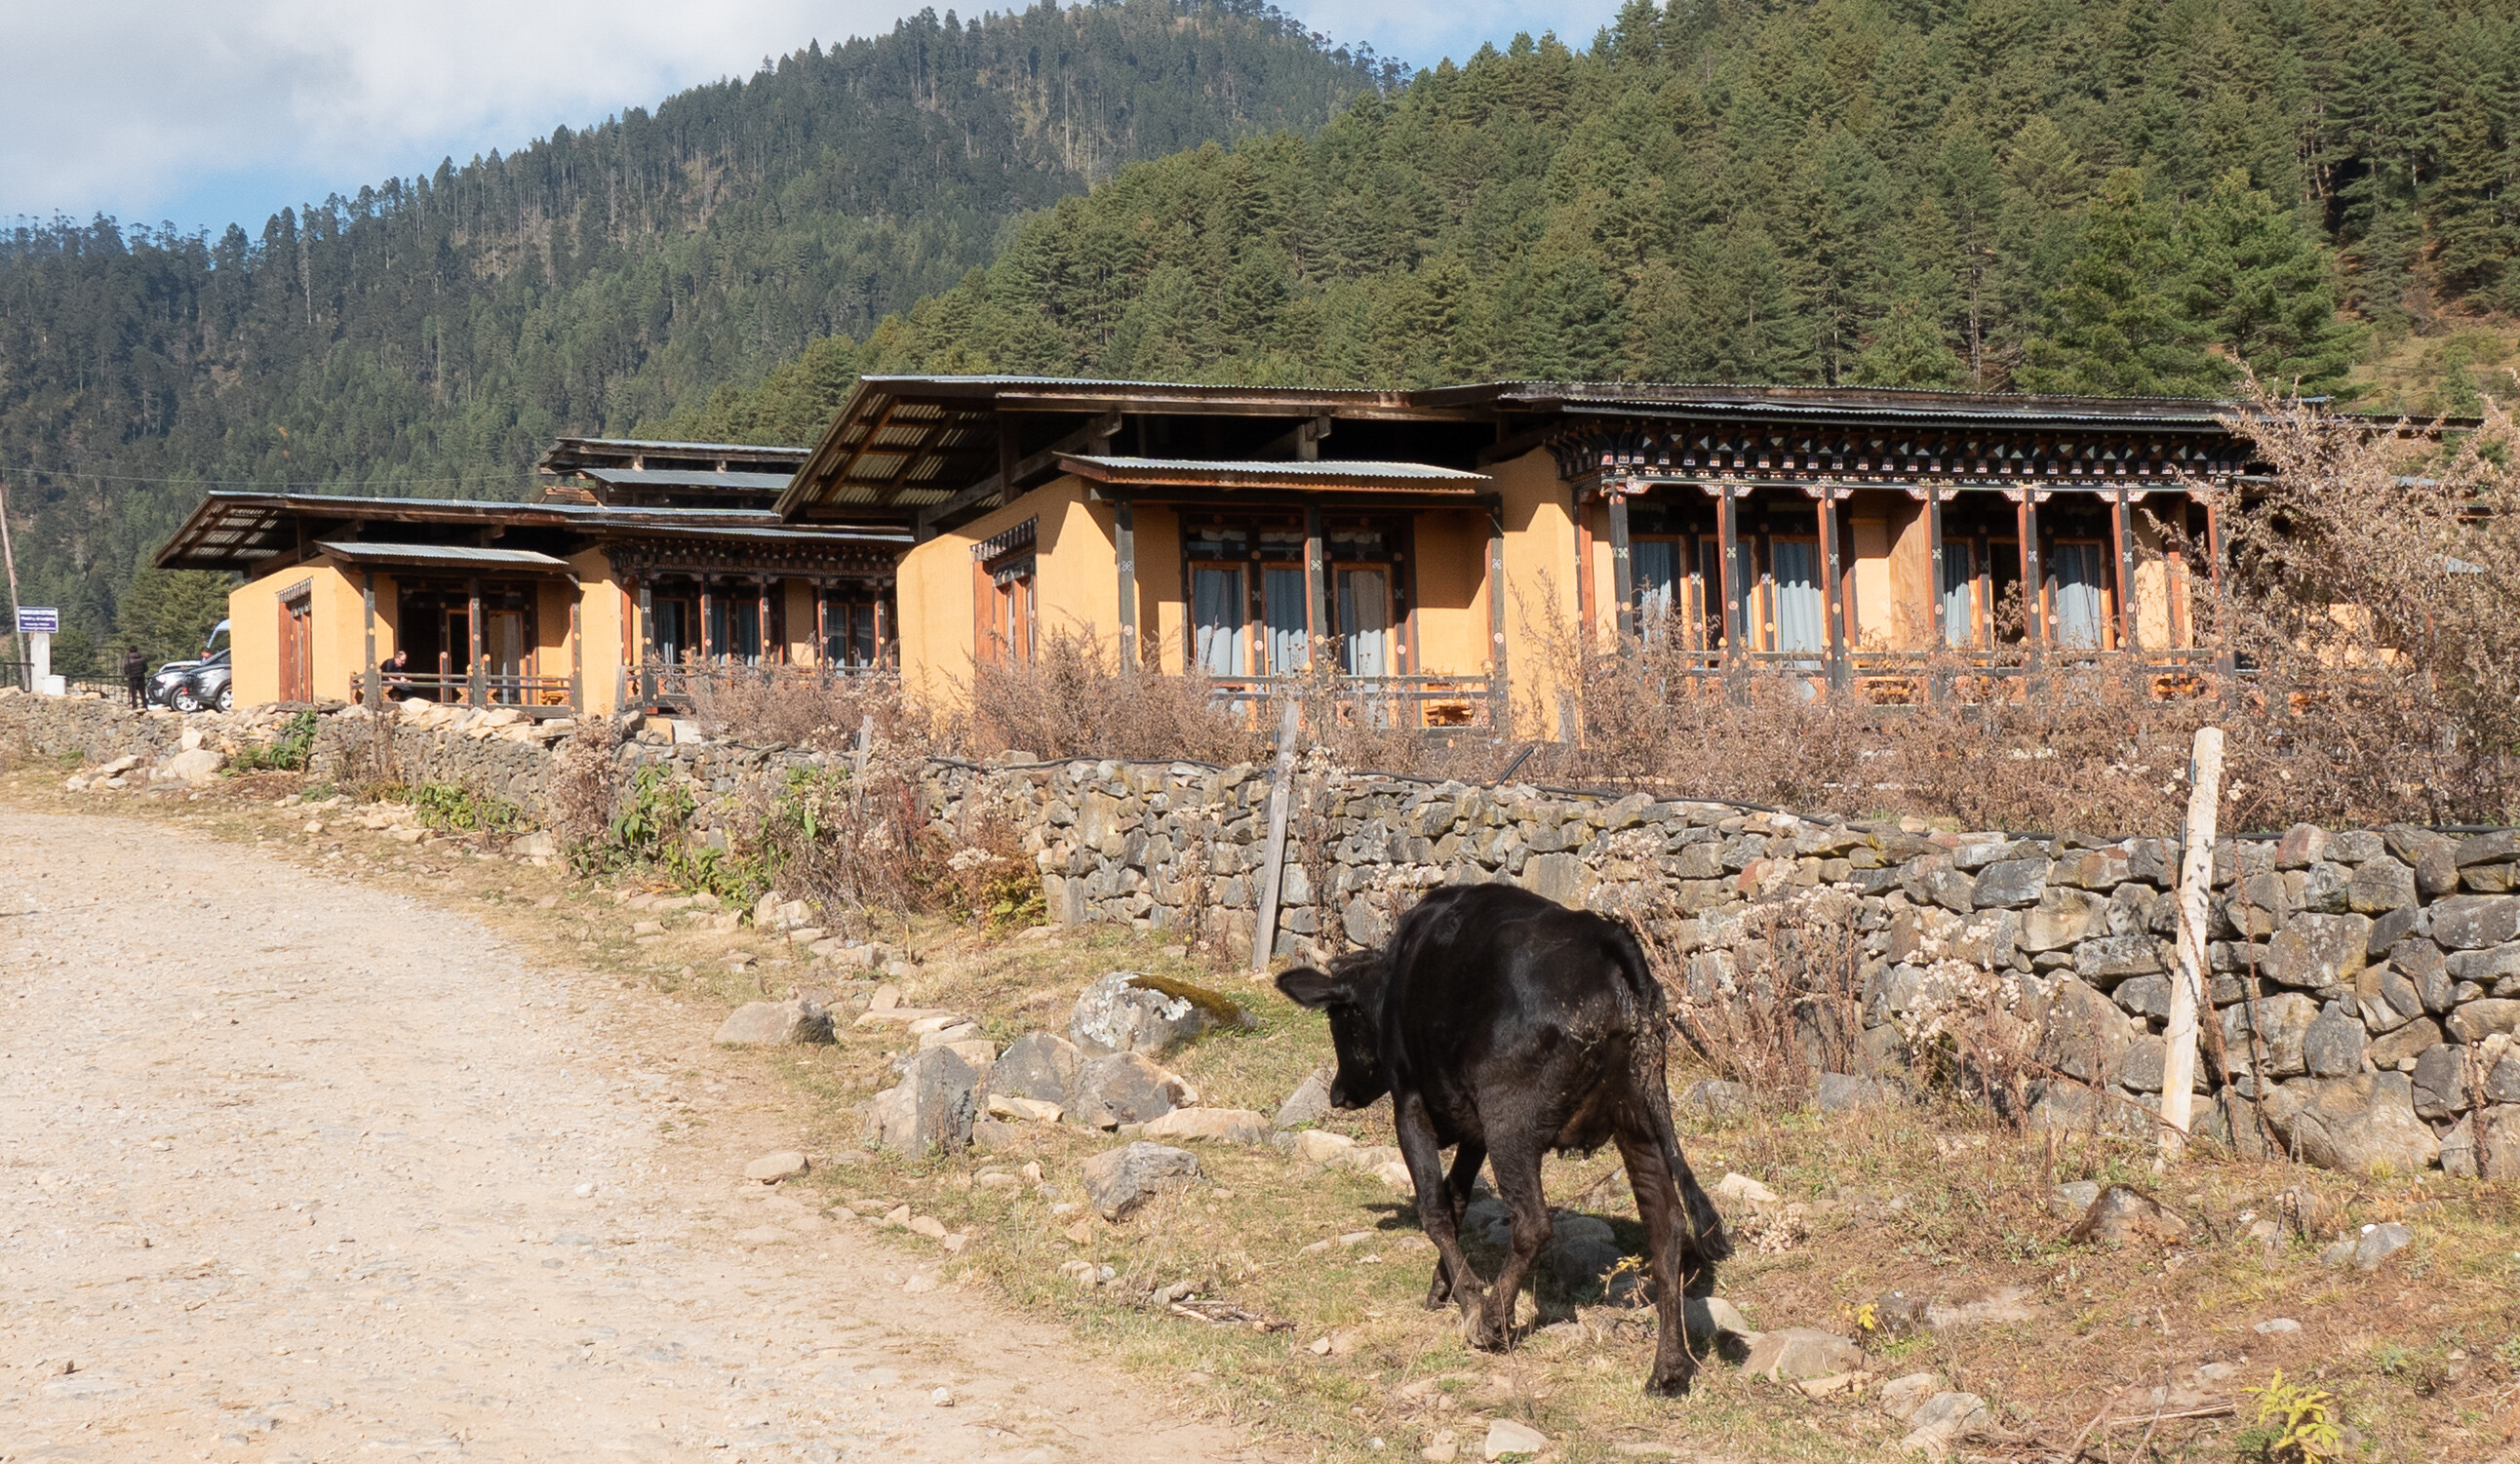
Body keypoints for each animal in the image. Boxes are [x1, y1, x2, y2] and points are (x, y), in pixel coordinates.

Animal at [1276, 882, 1730, 1396]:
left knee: (1533, 1221)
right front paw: (1444, 1285)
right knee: (1666, 1224)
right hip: (1640, 1119)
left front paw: (1470, 1297)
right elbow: (1456, 1198)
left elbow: (1434, 1206)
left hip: (1510, 1122)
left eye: (1337, 1019)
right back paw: (1668, 1367)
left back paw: (1494, 1319)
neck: (1394, 981)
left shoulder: (1411, 1105)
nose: (1337, 1095)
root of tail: (1607, 939)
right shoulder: (1473, 1129)